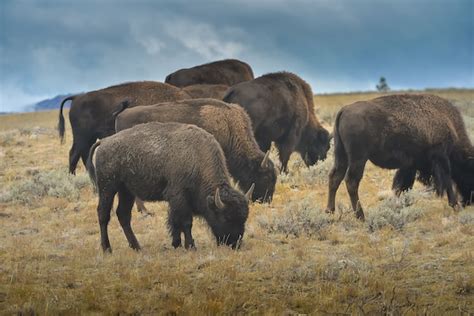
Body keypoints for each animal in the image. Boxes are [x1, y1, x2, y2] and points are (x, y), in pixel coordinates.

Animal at [87, 121, 254, 252]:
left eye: (244, 218)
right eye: (226, 217)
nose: (235, 244)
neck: (197, 157)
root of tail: (104, 141)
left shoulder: (176, 201)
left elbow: (175, 222)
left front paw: (176, 244)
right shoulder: (179, 197)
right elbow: (185, 222)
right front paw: (190, 246)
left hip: (126, 191)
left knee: (123, 215)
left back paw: (137, 247)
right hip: (107, 187)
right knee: (103, 214)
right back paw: (107, 248)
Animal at [326, 94, 474, 220]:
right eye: (469, 173)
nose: (469, 202)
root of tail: (344, 110)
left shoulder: (410, 166)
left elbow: (402, 186)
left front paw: (399, 206)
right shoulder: (441, 158)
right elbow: (447, 180)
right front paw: (455, 205)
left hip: (341, 155)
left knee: (335, 177)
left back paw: (330, 211)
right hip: (358, 158)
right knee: (352, 181)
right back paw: (361, 216)